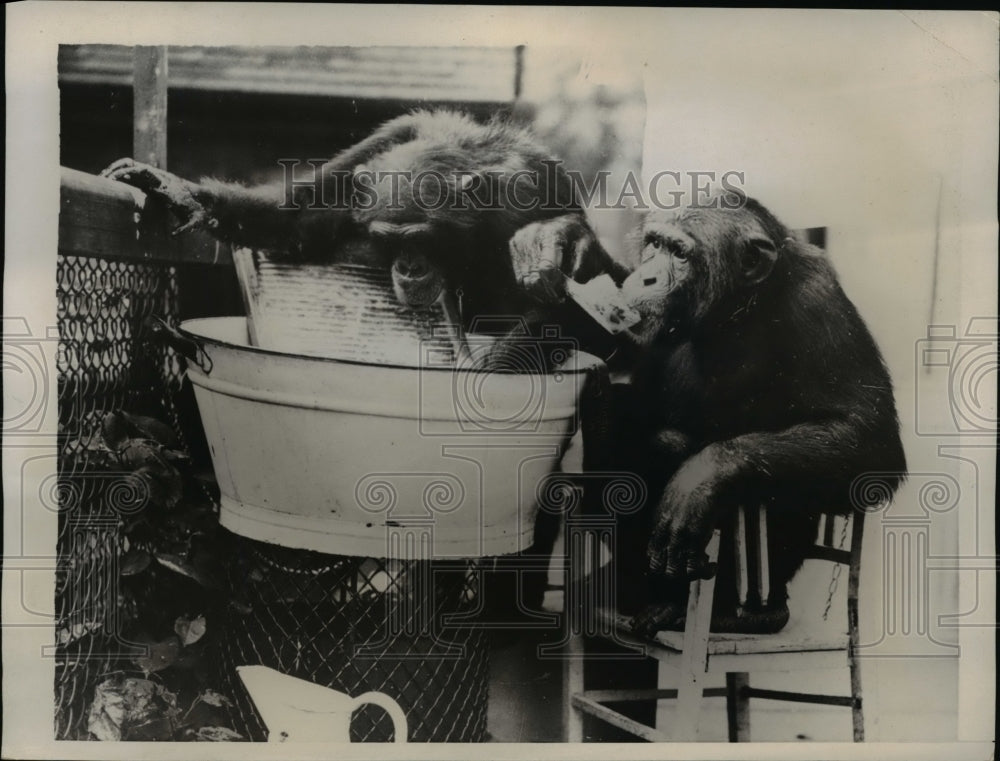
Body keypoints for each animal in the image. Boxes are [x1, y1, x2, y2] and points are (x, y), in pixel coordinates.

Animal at [512, 191, 912, 636]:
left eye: (681, 253)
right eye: (655, 244)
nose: (647, 277)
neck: (732, 308)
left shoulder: (818, 300)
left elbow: (867, 436)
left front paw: (700, 480)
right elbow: (621, 342)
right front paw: (564, 244)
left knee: (678, 448)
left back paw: (715, 609)